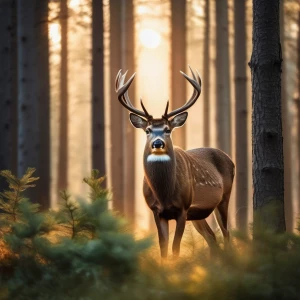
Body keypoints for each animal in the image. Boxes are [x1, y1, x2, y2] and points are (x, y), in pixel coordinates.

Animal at [115, 67, 234, 258]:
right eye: (148, 130)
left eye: (167, 130)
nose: (157, 143)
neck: (164, 194)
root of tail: (229, 158)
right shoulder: (157, 211)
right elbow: (163, 247)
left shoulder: (182, 209)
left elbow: (175, 248)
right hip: (198, 214)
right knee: (212, 237)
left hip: (223, 198)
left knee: (227, 234)